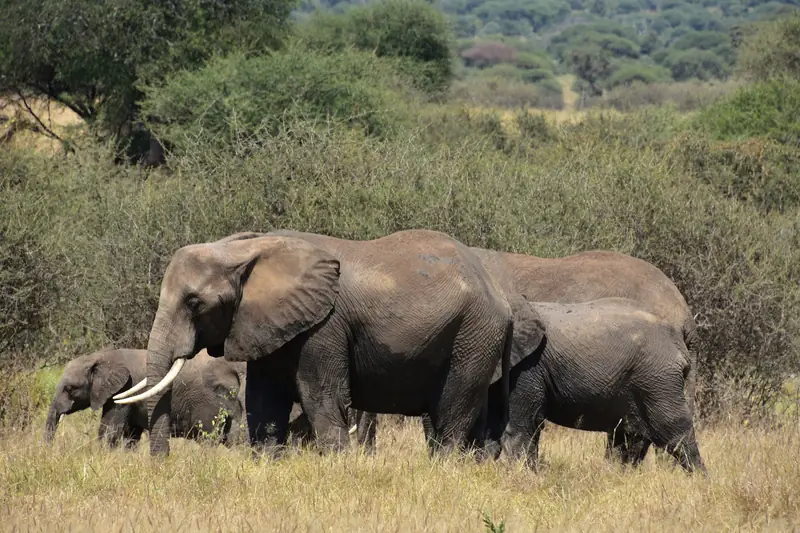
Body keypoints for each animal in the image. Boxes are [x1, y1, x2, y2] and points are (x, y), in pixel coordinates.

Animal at [45, 348, 246, 448]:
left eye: (70, 389)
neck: (100, 356)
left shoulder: (125, 390)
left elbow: (110, 431)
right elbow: (130, 435)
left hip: (209, 403)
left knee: (209, 438)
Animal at [115, 229, 545, 458]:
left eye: (194, 303)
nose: (161, 466)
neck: (247, 248)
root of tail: (500, 295)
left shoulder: (324, 327)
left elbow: (321, 396)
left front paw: (337, 466)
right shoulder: (269, 325)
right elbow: (264, 402)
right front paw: (267, 462)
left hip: (472, 336)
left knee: (452, 414)